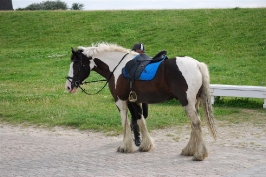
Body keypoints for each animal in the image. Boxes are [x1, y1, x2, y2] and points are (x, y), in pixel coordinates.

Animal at [65, 42, 217, 161]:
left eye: (76, 64)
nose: (68, 86)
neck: (117, 66)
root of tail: (197, 64)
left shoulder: (121, 101)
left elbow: (125, 123)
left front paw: (125, 146)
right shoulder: (135, 101)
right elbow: (140, 120)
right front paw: (146, 145)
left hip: (187, 102)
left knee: (196, 123)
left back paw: (199, 154)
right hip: (193, 103)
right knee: (194, 125)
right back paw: (189, 150)